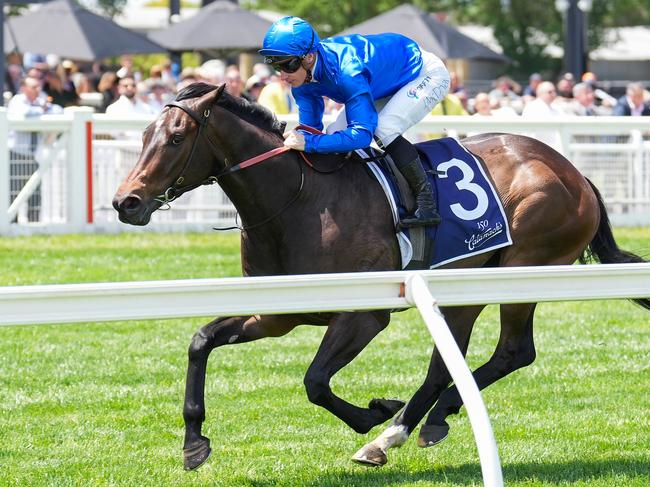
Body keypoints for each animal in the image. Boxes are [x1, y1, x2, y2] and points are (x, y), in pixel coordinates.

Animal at [112, 83, 648, 468]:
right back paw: (425, 421)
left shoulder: (363, 313)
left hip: (519, 270)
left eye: (176, 138)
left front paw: (373, 413)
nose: (125, 202)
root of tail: (575, 173)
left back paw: (395, 431)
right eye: (141, 137)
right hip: (467, 286)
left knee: (513, 352)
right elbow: (200, 341)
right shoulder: (275, 314)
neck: (300, 200)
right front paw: (193, 442)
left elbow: (315, 381)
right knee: (456, 362)